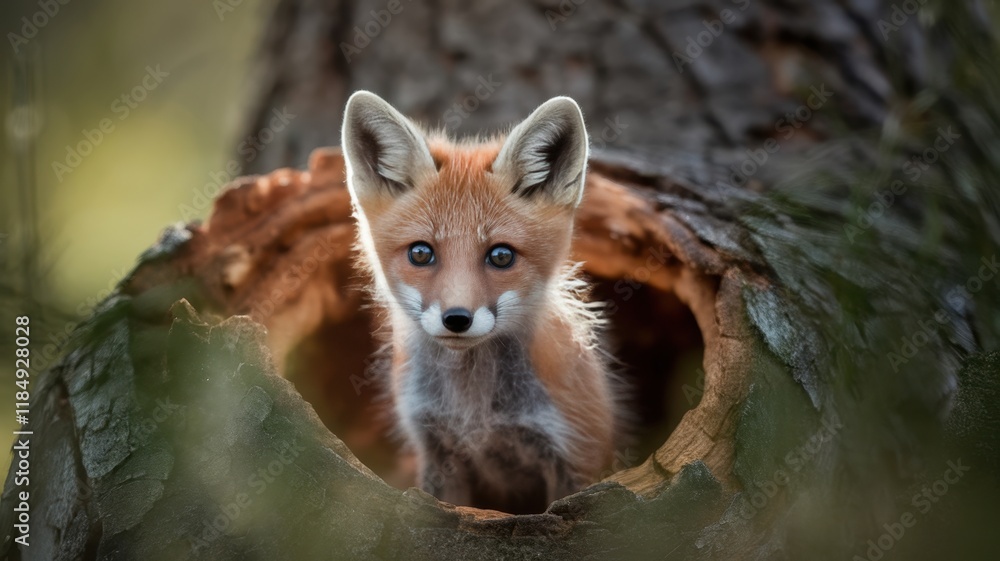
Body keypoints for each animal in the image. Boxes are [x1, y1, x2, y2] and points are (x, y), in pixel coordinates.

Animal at [341, 91, 618, 514]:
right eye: (421, 253)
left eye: (501, 256)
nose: (457, 319)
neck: (473, 412)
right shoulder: (436, 453)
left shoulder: (576, 456)